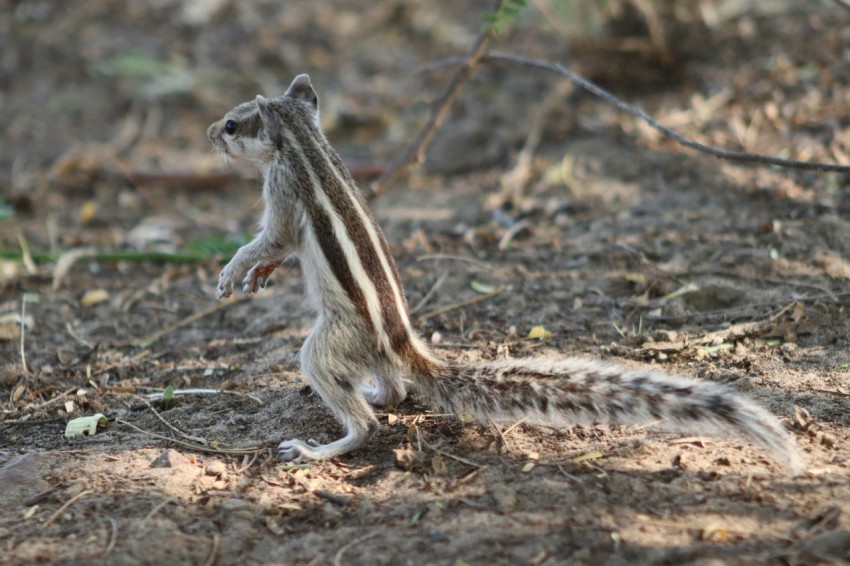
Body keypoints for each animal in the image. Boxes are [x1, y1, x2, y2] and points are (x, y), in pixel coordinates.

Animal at [205, 74, 800, 474]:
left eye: (233, 123)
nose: (210, 133)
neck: (303, 139)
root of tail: (403, 345)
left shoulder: (282, 192)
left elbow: (274, 238)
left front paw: (234, 270)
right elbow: (277, 248)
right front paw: (257, 274)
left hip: (329, 342)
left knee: (365, 416)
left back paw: (320, 447)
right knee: (394, 392)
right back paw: (374, 395)